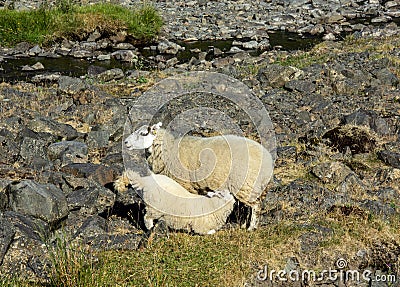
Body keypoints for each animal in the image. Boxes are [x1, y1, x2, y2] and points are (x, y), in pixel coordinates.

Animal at [125, 122, 276, 231]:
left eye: (143, 133)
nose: (125, 142)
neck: (167, 150)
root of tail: (268, 161)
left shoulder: (184, 184)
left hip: (247, 185)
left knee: (255, 207)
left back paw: (251, 228)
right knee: (247, 207)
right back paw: (244, 225)